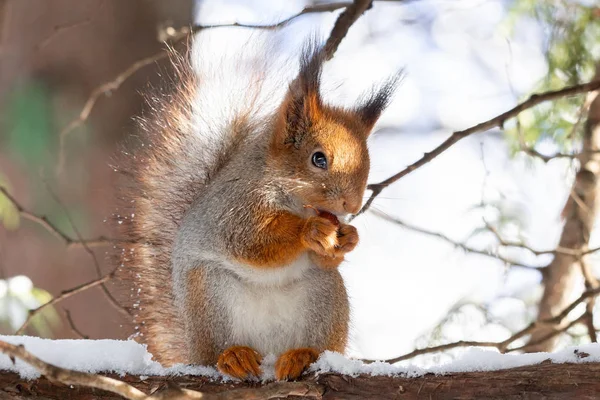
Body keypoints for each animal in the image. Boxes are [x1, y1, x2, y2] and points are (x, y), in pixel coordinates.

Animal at [116, 36, 398, 382]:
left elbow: (325, 256)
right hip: (208, 296)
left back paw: (302, 356)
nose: (353, 205)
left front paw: (348, 237)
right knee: (214, 352)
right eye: (318, 159)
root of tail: (267, 351)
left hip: (325, 295)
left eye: (367, 162)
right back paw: (232, 357)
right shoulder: (234, 210)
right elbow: (252, 243)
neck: (295, 202)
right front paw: (310, 231)